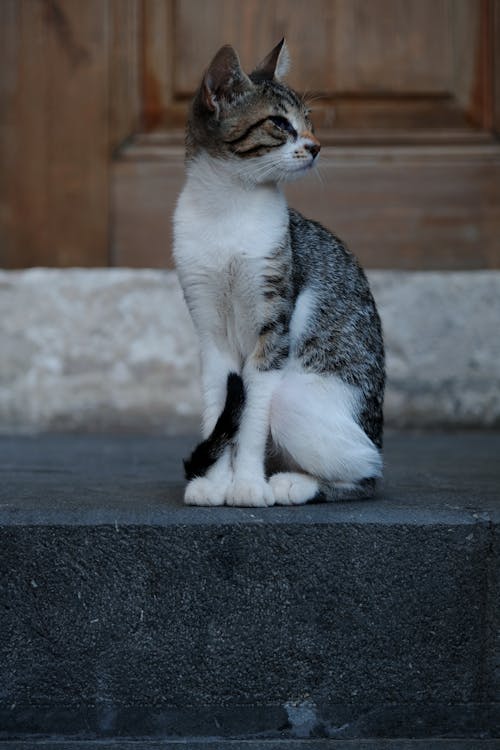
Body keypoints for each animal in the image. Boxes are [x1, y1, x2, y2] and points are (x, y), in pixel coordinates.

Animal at [174, 42, 384, 512]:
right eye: (279, 123)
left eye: (309, 122)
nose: (317, 146)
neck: (228, 206)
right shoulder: (209, 331)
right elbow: (220, 408)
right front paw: (215, 483)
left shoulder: (273, 329)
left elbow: (252, 416)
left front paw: (248, 484)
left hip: (299, 398)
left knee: (367, 472)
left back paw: (293, 483)